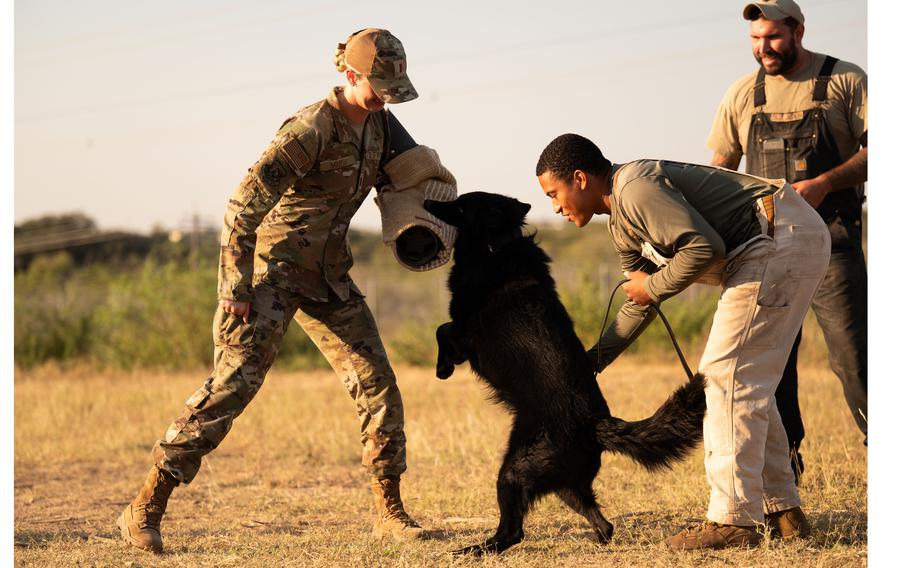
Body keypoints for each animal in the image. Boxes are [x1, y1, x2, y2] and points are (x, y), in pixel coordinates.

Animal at [424, 191, 708, 556]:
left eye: (460, 204)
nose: (429, 201)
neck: (495, 247)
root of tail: (597, 424)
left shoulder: (466, 333)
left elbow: (442, 329)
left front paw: (443, 368)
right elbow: (442, 329)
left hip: (515, 470)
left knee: (513, 531)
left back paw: (475, 550)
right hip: (565, 484)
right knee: (604, 524)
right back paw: (596, 543)